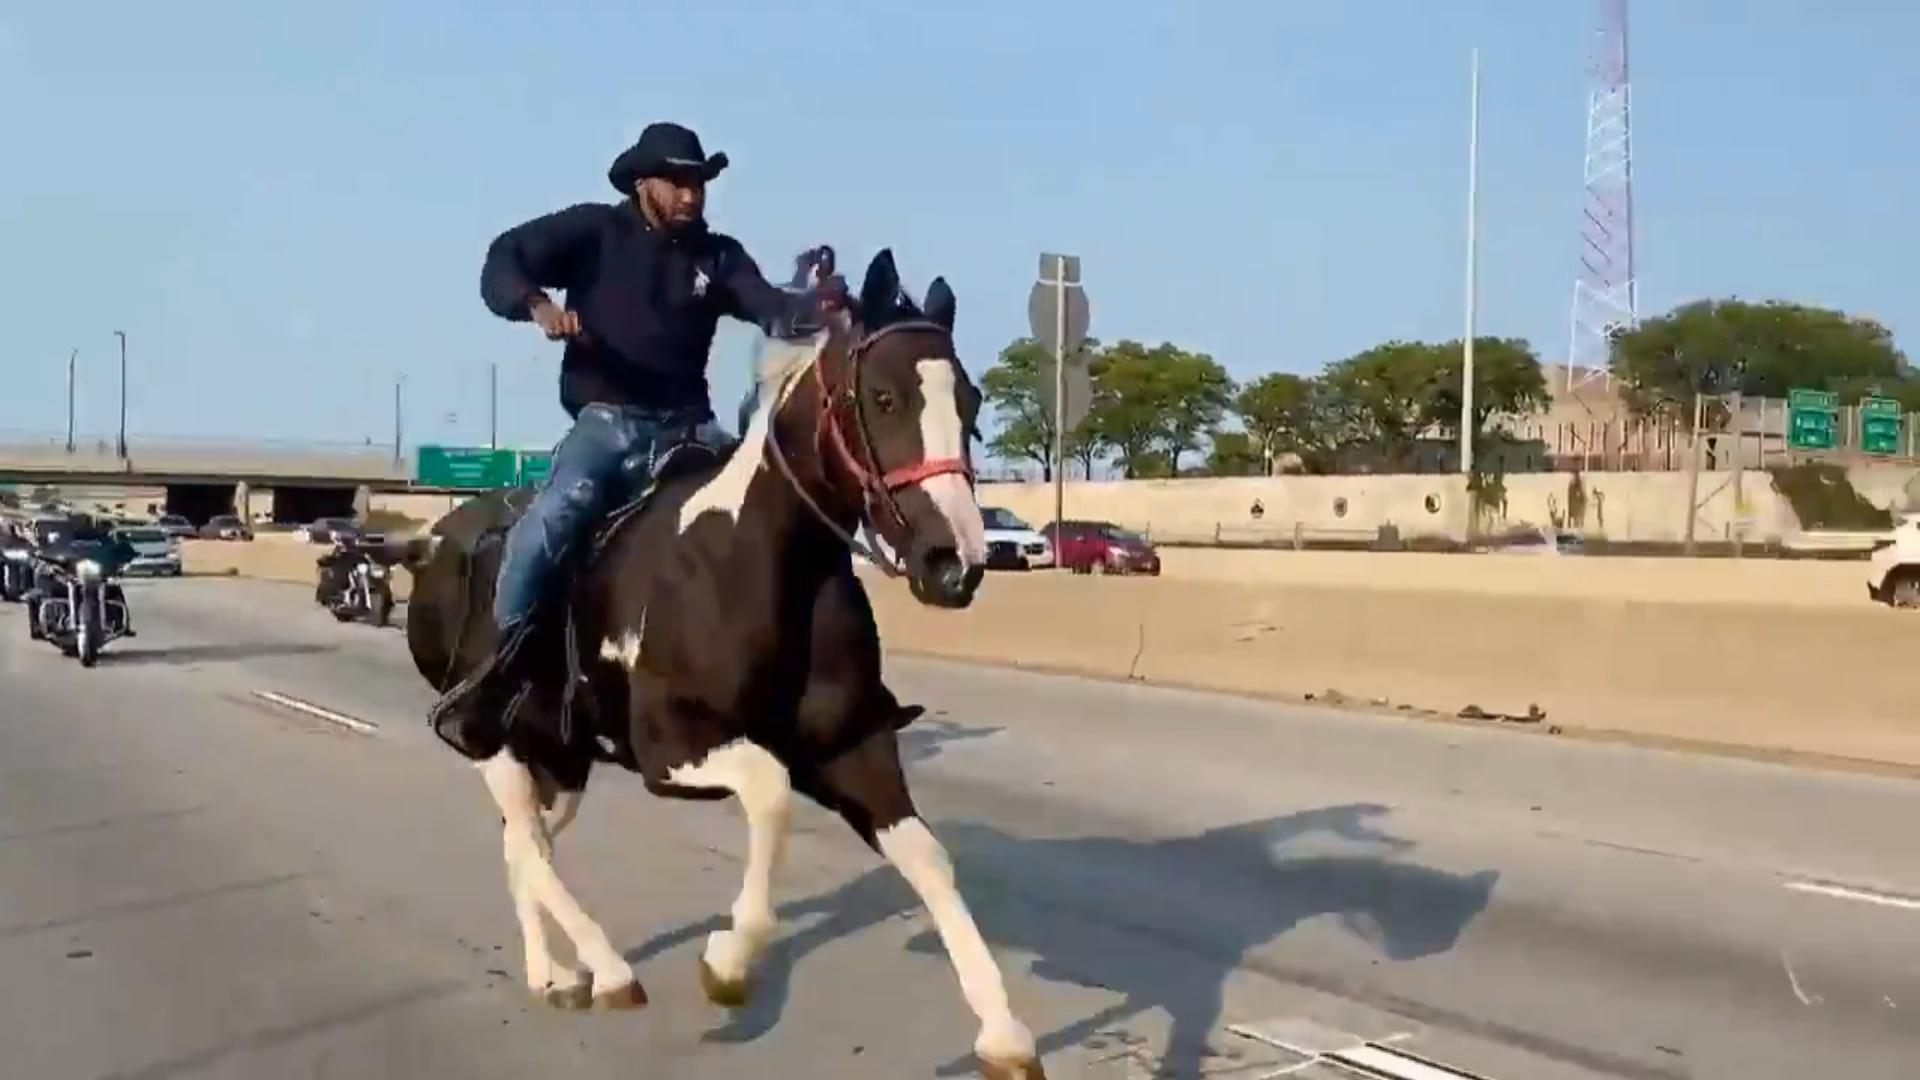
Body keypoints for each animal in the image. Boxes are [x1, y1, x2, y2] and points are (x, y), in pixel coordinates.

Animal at [397, 249, 1044, 1076]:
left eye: (970, 400)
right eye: (884, 396)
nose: (954, 563)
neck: (755, 558)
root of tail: (435, 538)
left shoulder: (853, 747)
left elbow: (930, 859)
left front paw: (1005, 1034)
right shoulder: (671, 747)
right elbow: (769, 796)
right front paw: (730, 966)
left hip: (561, 756)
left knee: (526, 844)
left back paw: (554, 972)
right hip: (494, 739)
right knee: (525, 841)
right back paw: (607, 969)